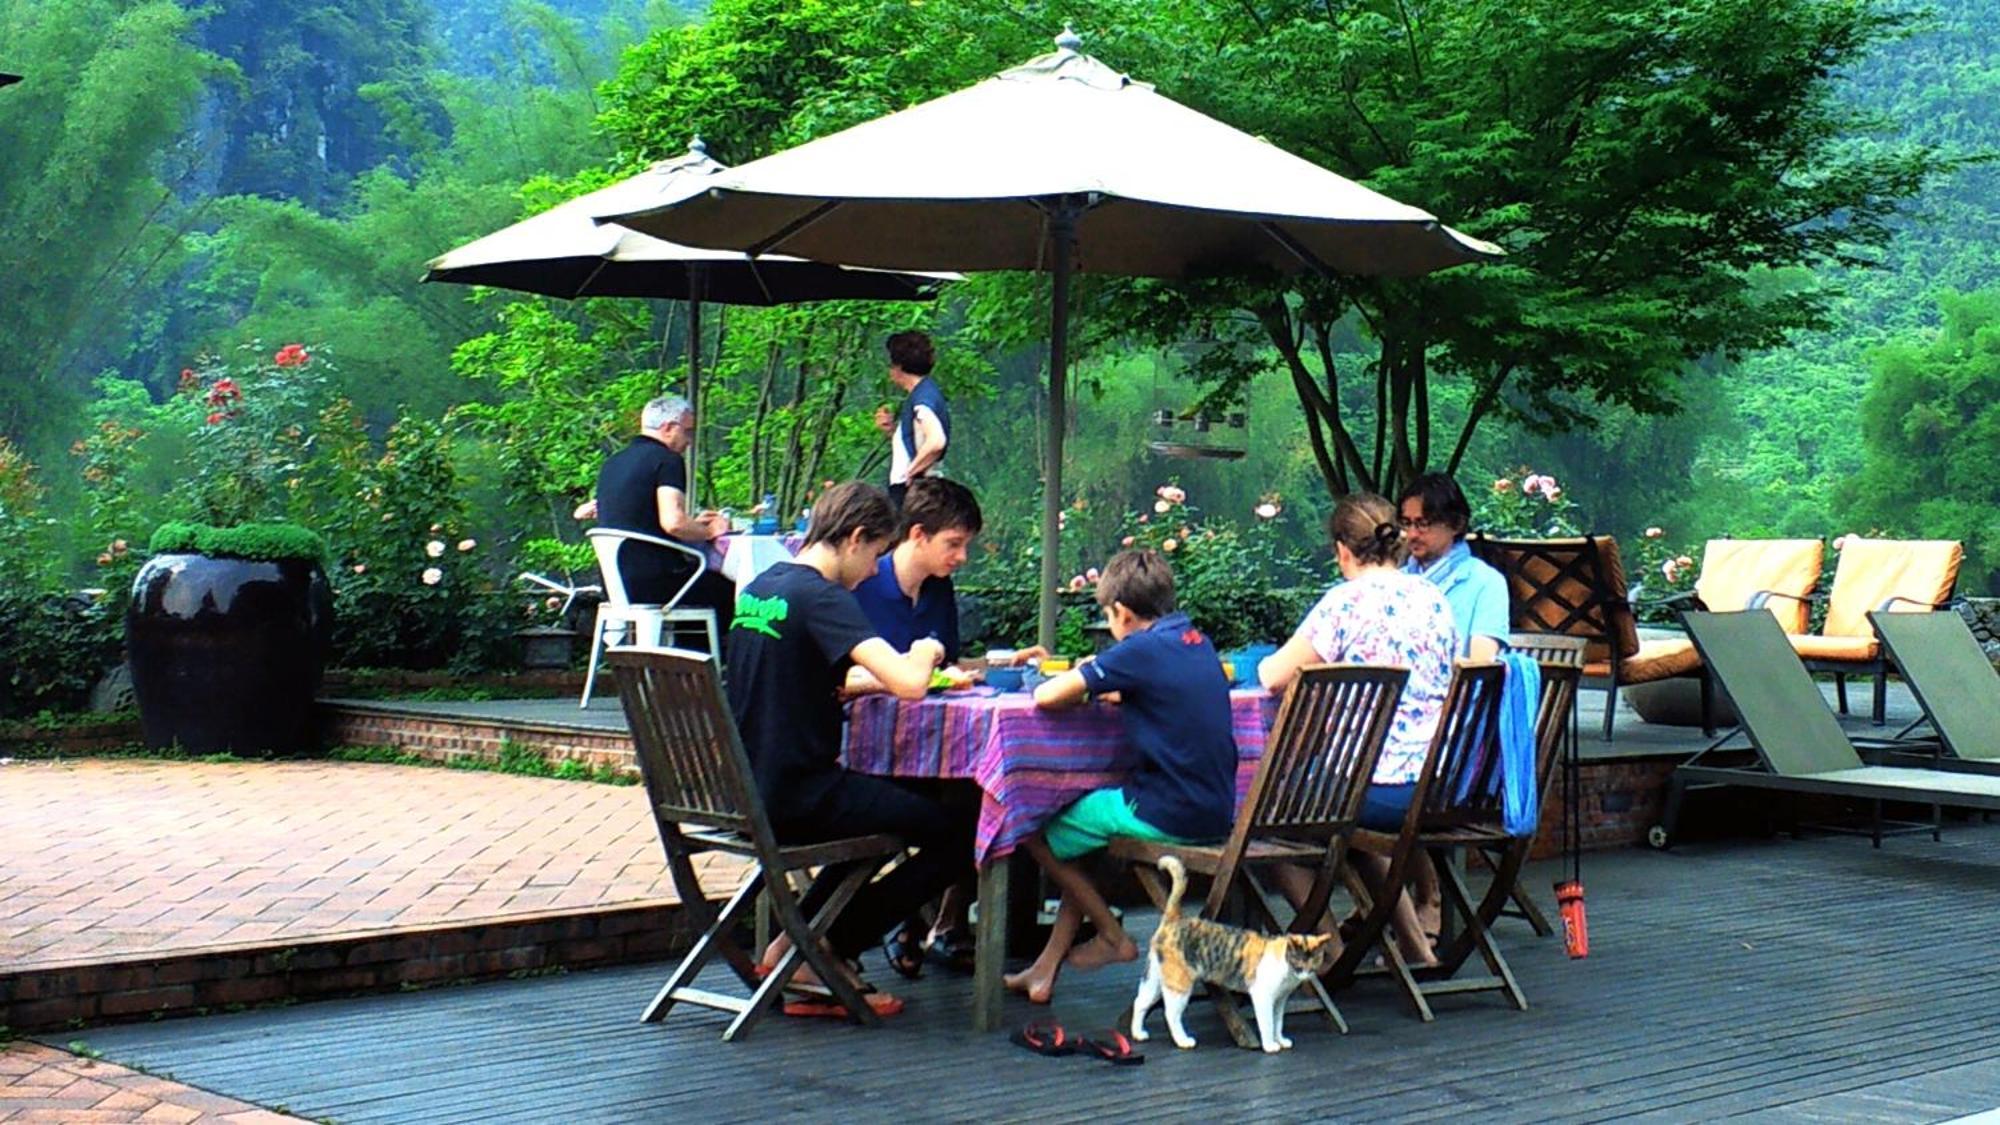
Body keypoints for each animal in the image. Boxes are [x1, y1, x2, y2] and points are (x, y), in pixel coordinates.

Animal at [1136, 848, 1336, 1048]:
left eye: (1314, 962)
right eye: (1298, 962)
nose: (1305, 975)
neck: (1286, 970)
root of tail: (1173, 918)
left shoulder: (1280, 1001)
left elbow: (1278, 1022)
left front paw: (1281, 1040)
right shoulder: (1262, 997)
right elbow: (1267, 1024)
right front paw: (1270, 1045)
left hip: (1155, 978)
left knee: (1140, 1002)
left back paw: (1138, 1034)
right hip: (1179, 984)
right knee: (1170, 1014)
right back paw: (1183, 1041)